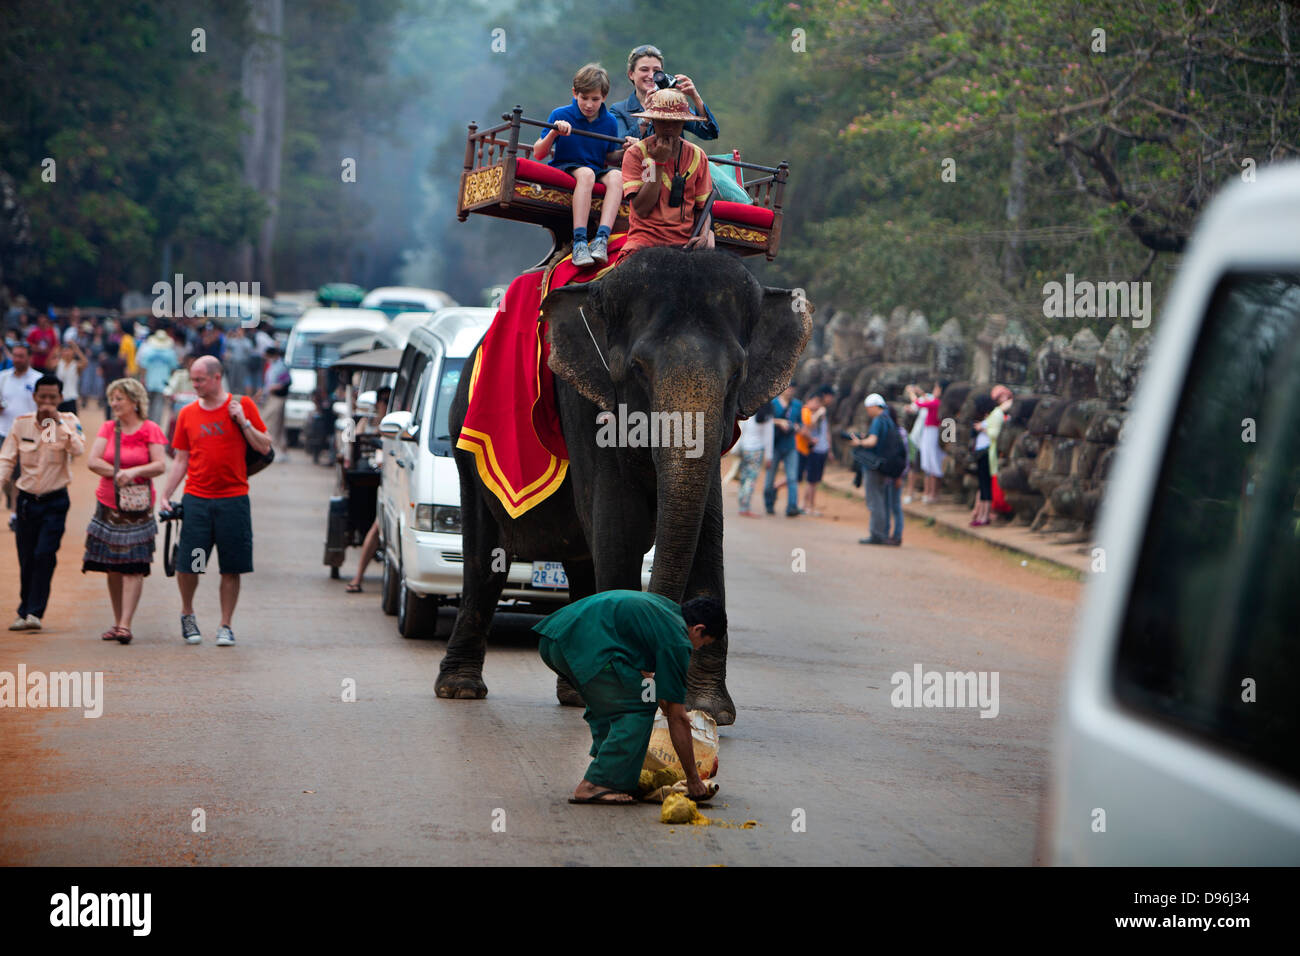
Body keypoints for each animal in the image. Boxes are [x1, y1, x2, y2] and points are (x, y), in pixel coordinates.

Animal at [436, 247, 811, 723]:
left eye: (736, 375)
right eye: (637, 369)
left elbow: (708, 531)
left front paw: (708, 710)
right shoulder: (584, 401)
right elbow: (620, 528)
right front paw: (626, 697)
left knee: (579, 557)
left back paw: (575, 692)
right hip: (468, 446)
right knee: (485, 559)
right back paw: (460, 688)